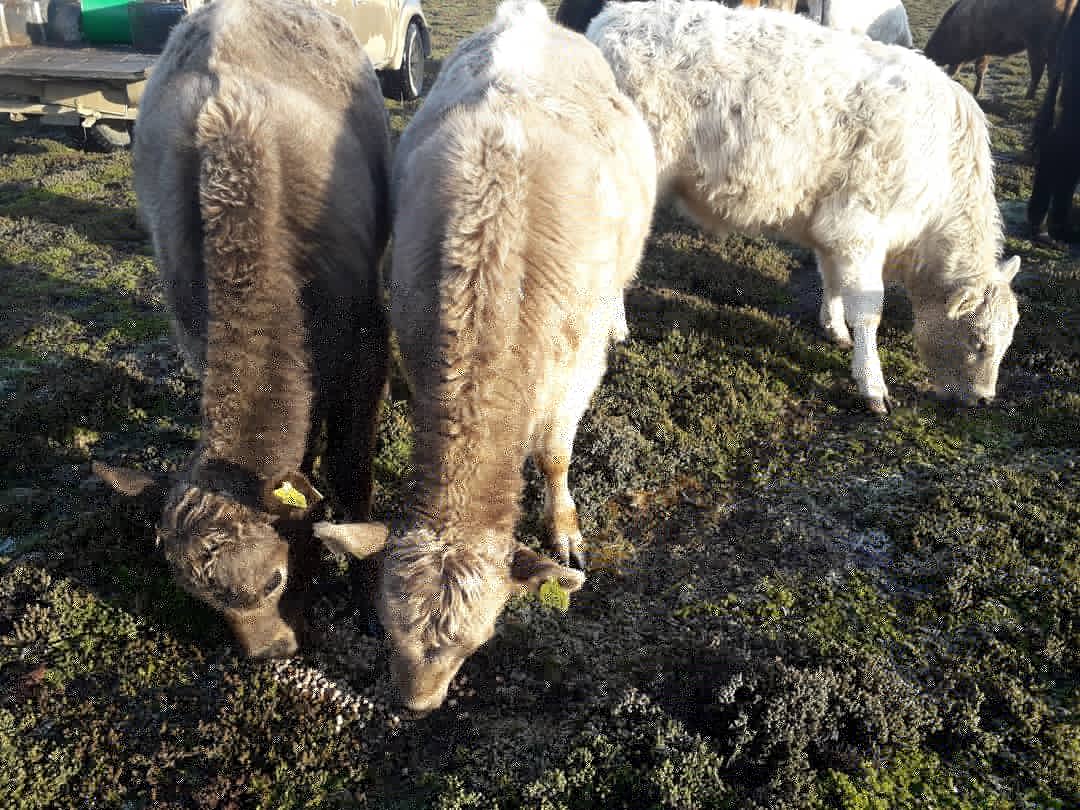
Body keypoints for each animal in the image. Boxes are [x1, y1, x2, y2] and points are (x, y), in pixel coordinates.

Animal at [93, 0, 391, 658]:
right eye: (199, 598)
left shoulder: (367, 341)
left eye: (275, 578)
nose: (268, 654)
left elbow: (351, 472)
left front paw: (367, 595)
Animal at [312, 0, 657, 713]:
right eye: (386, 626)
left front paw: (564, 526)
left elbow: (554, 455)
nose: (415, 705)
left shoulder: (575, 369)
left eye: (475, 644)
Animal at [587, 0, 1021, 413]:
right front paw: (872, 385)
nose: (984, 399)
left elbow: (831, 280)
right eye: (978, 341)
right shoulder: (861, 227)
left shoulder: (833, 228)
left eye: (1006, 343)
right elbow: (868, 310)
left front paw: (835, 329)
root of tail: (611, 21)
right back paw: (616, 327)